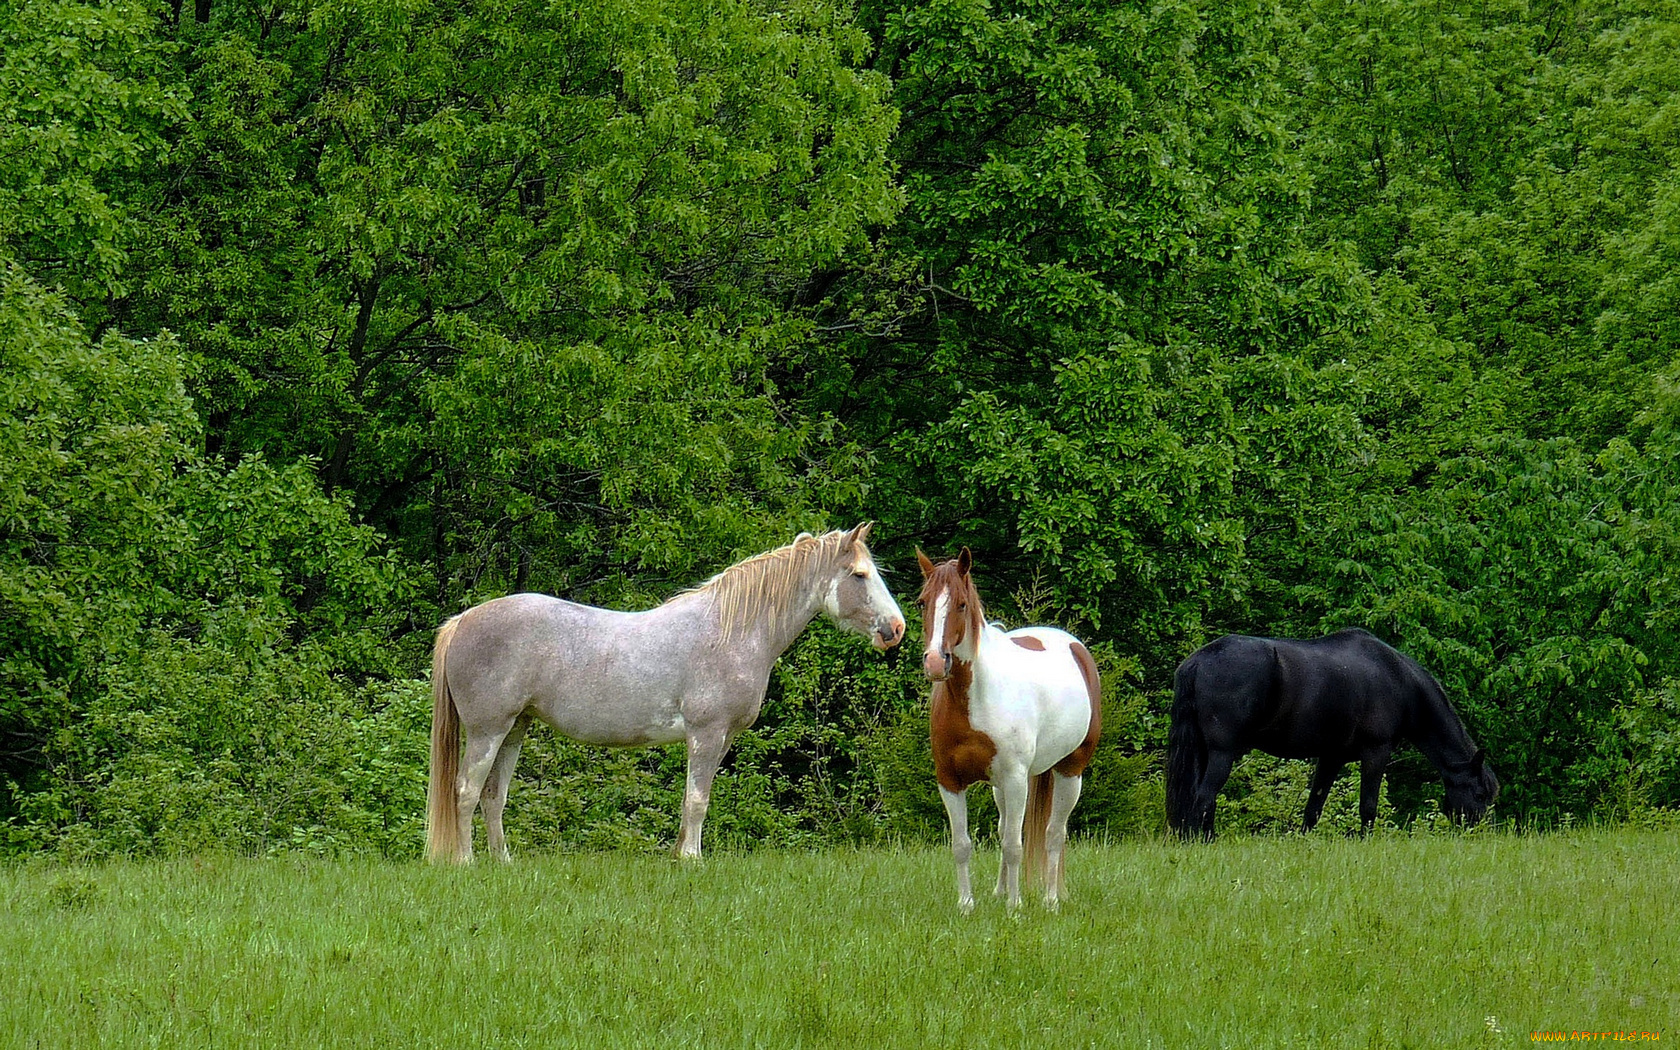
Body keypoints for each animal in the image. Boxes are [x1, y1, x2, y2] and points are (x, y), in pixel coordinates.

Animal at [433, 524, 907, 860]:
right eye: (860, 575)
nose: (896, 629)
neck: (732, 631)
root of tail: (462, 621)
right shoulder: (706, 733)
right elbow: (697, 800)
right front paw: (692, 859)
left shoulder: (722, 738)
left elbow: (695, 799)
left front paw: (681, 854)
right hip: (487, 731)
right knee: (466, 791)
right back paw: (466, 862)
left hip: (515, 729)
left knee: (493, 797)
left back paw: (503, 862)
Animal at [920, 547, 1102, 907]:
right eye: (923, 602)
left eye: (961, 604)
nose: (935, 662)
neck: (975, 698)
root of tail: (1075, 647)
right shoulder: (950, 781)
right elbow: (962, 845)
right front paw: (967, 905)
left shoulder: (1016, 779)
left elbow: (1014, 845)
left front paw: (1014, 906)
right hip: (1001, 786)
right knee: (1006, 826)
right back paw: (1000, 890)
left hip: (1069, 772)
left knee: (1053, 834)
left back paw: (1050, 900)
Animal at [1169, 624, 1498, 840]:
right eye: (1479, 793)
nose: (1478, 832)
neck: (1398, 679)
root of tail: (1199, 660)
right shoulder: (1376, 752)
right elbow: (1368, 805)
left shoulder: (1331, 758)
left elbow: (1313, 807)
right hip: (1222, 753)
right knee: (1204, 796)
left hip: (1202, 750)